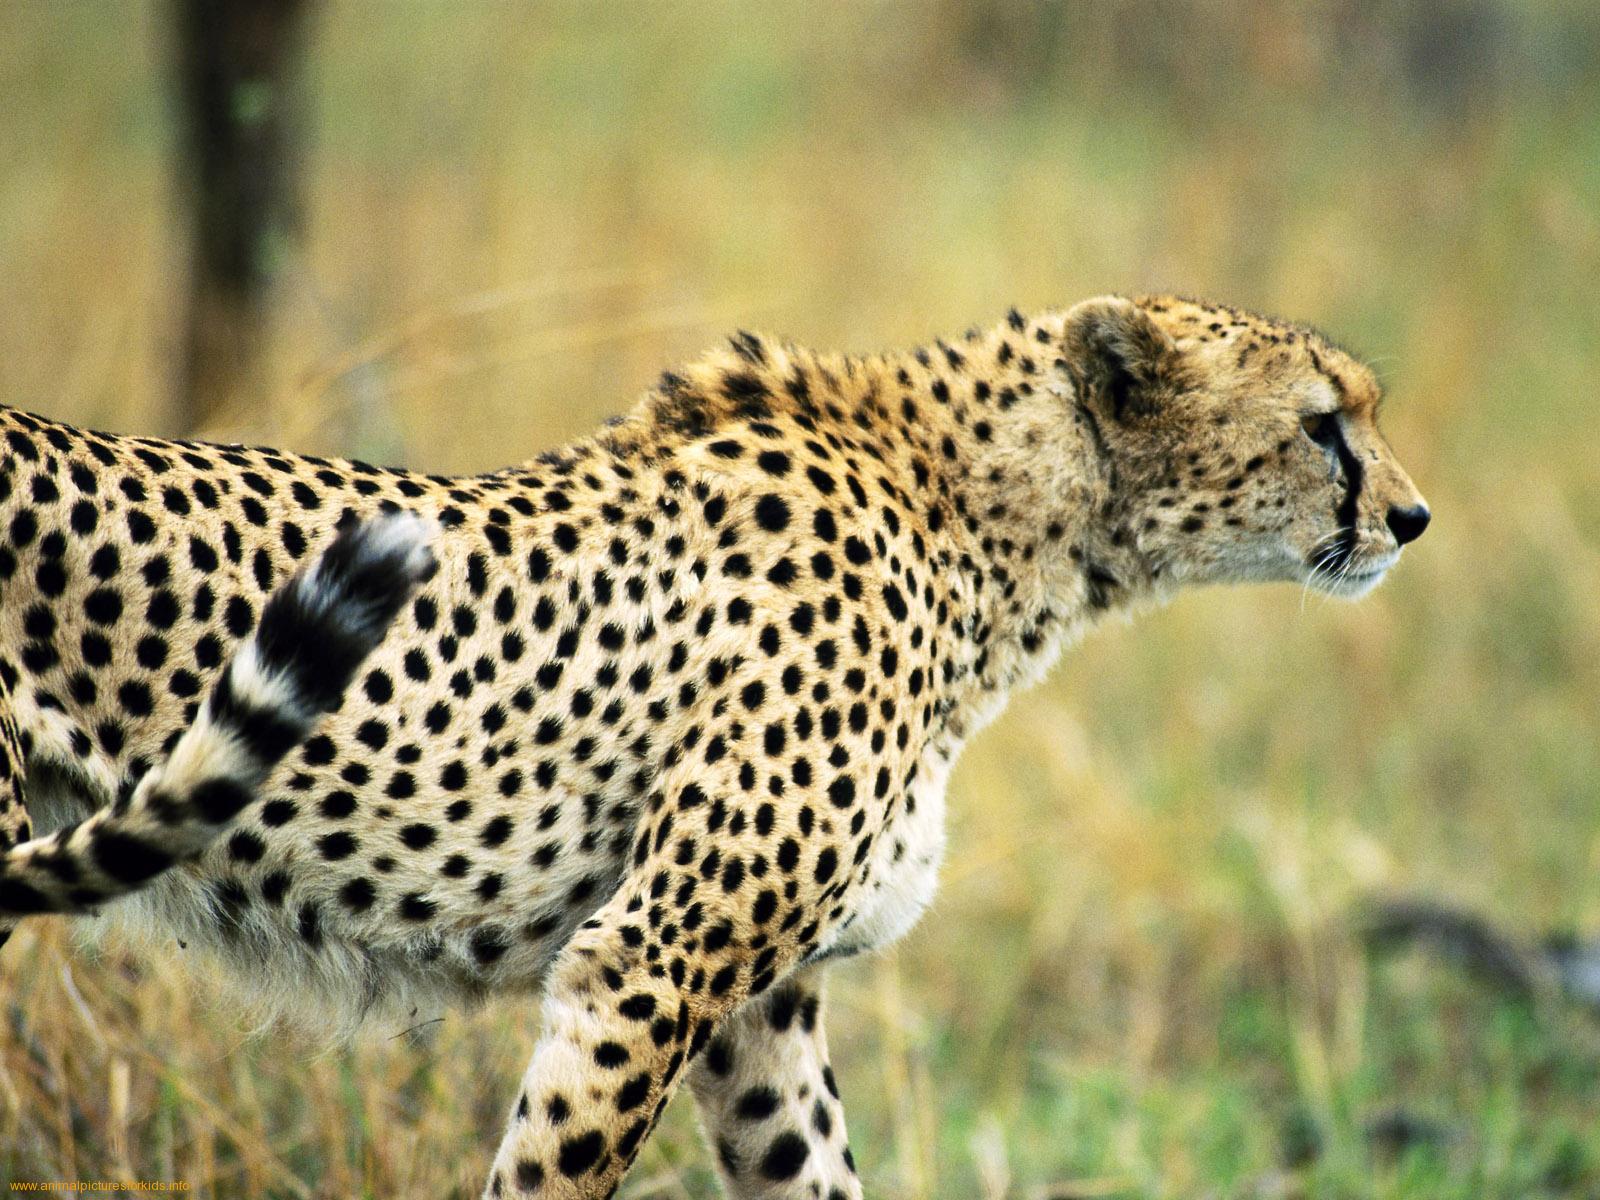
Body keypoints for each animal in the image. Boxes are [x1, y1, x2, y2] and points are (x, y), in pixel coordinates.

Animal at [0, 294, 1429, 1198]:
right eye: (1321, 422)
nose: (1411, 518)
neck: (989, 529)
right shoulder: (648, 962)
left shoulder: (758, 1008)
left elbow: (813, 1172)